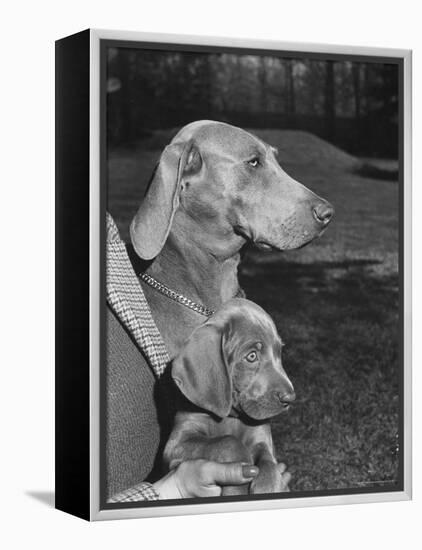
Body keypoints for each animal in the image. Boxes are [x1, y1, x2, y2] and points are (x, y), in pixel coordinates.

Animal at [163, 300, 296, 498]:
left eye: (279, 352)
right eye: (251, 356)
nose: (290, 398)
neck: (231, 417)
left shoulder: (262, 440)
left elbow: (269, 465)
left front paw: (269, 486)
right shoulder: (177, 443)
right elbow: (228, 442)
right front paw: (239, 481)